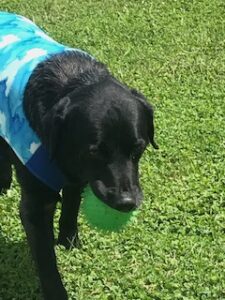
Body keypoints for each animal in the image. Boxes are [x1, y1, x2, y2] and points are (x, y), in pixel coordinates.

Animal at [0, 31, 158, 300]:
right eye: (95, 152)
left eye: (139, 148)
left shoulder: (78, 178)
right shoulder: (36, 206)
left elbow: (71, 206)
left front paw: (68, 242)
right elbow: (47, 262)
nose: (126, 203)